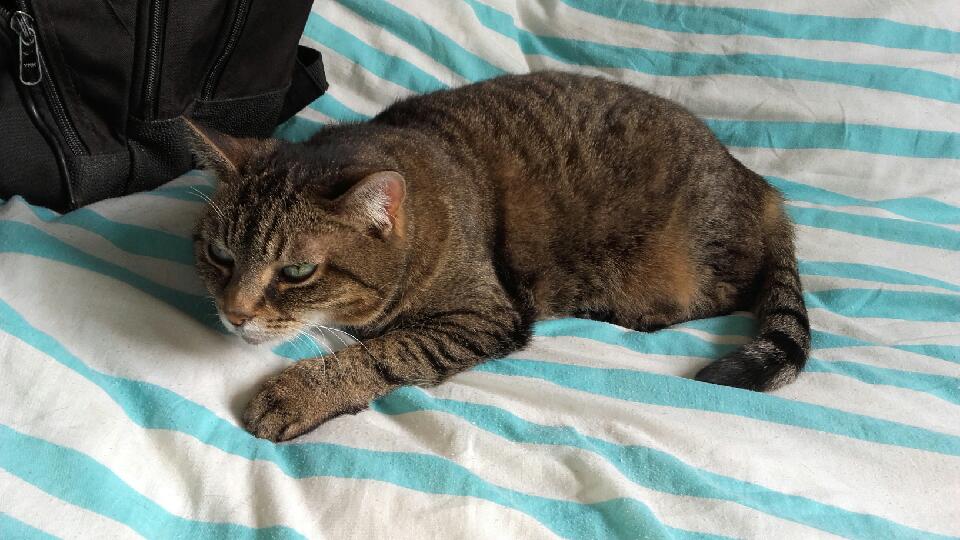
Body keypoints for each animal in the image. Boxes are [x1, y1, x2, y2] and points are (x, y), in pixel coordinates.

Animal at [187, 71, 810, 442]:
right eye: (219, 253)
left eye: (296, 272)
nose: (234, 314)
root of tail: (758, 183)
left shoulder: (485, 315)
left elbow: (385, 353)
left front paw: (296, 393)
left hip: (683, 268)